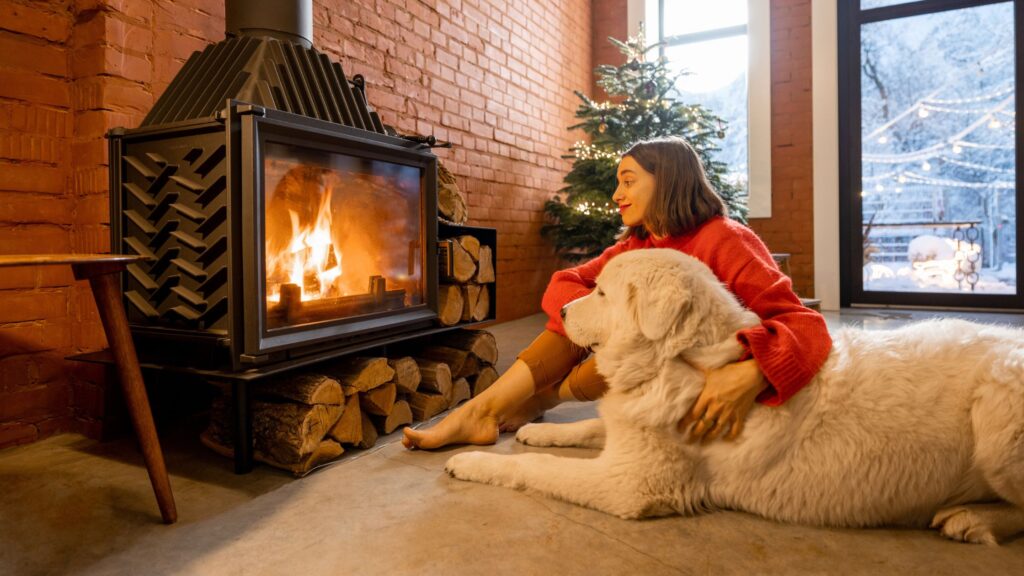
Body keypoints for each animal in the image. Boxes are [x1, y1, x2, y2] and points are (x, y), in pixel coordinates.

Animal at [446, 248, 1024, 541]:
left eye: (603, 293)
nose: (563, 311)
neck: (681, 361)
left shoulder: (628, 484)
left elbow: (534, 468)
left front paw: (473, 461)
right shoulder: (630, 433)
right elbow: (590, 425)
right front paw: (534, 429)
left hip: (998, 424)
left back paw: (971, 520)